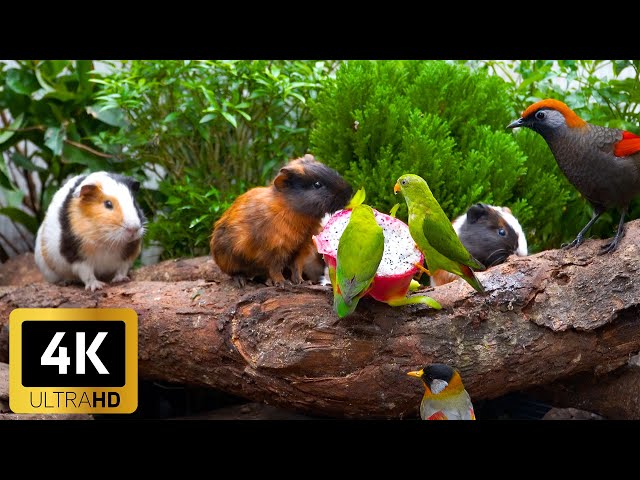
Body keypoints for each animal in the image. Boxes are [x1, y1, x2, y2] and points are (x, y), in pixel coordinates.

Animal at [210, 154, 352, 286]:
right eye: (317, 184)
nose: (349, 193)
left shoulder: (300, 249)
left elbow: (296, 268)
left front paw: (301, 282)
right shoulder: (274, 250)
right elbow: (275, 269)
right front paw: (282, 283)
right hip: (229, 260)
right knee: (236, 273)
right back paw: (242, 282)